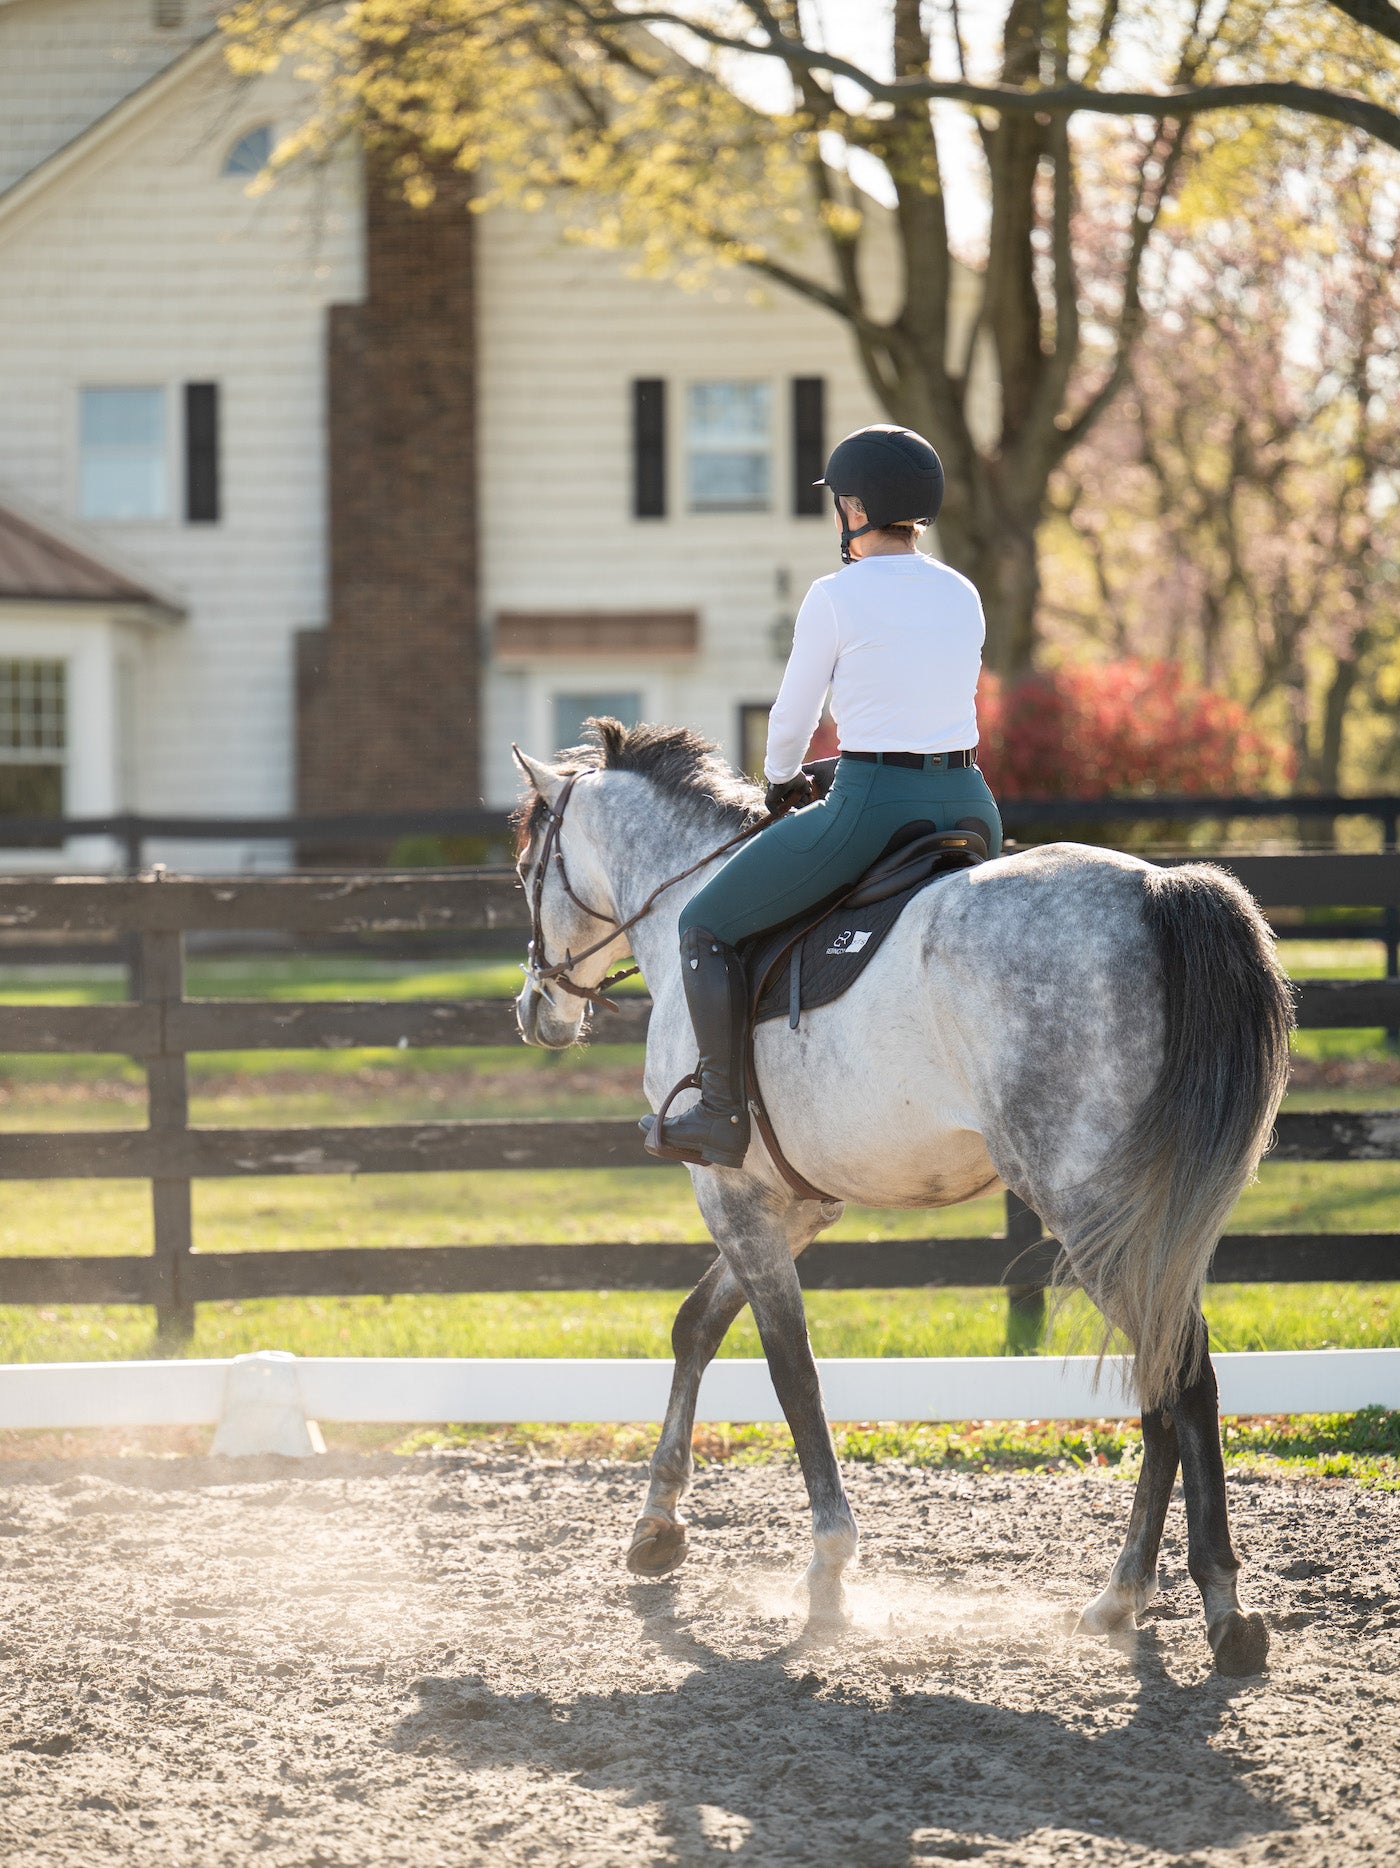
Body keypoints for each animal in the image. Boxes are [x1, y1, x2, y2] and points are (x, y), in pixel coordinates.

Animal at [511, 720, 1294, 1677]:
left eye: (526, 866)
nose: (536, 1010)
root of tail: (1157, 887)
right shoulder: (792, 1205)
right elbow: (697, 1325)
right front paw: (657, 1526)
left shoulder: (728, 1191)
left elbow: (792, 1371)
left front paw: (827, 1572)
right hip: (1146, 1223)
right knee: (1170, 1378)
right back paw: (1126, 1601)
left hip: (1093, 1215)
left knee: (1178, 1380)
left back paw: (1213, 1607)